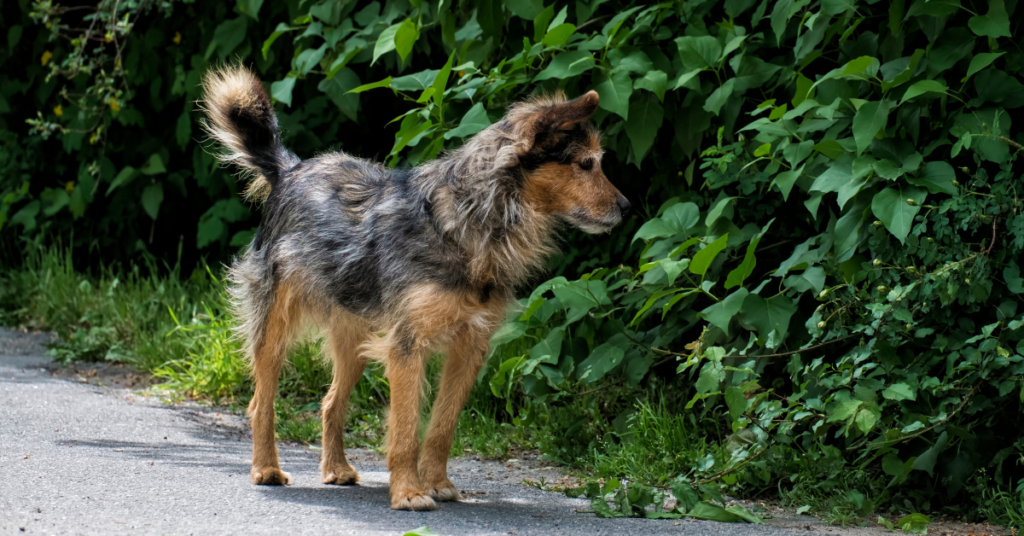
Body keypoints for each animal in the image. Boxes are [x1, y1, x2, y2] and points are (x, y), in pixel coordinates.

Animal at [199, 66, 626, 512]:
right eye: (586, 164)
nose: (627, 207)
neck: (469, 222)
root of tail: (291, 171)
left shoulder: (470, 345)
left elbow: (442, 426)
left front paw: (436, 482)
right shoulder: (407, 345)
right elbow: (405, 428)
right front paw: (407, 491)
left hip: (355, 339)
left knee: (331, 402)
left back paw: (336, 468)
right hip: (274, 328)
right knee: (260, 402)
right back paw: (266, 468)